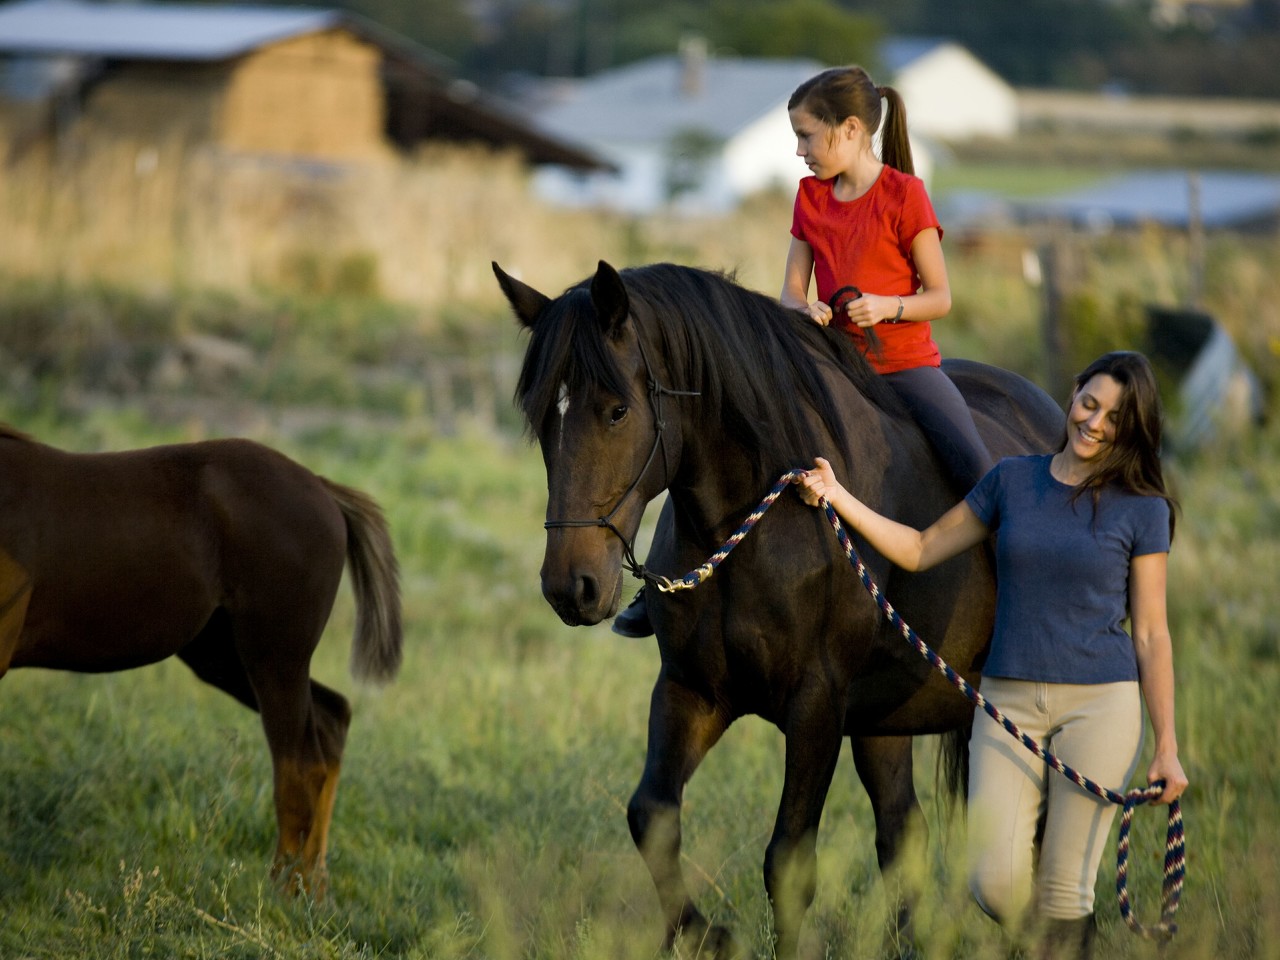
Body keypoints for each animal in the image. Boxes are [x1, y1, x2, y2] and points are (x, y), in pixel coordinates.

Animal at [0, 424, 399, 901]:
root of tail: (323, 489)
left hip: (273, 654)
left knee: (298, 764)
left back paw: (284, 892)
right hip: (223, 655)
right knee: (330, 718)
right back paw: (313, 888)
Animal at [494, 259, 1064, 957]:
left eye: (616, 411)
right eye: (541, 418)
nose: (569, 587)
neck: (755, 521)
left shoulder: (816, 704)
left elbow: (788, 862)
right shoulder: (691, 690)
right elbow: (651, 815)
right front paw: (705, 934)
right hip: (884, 720)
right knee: (903, 832)